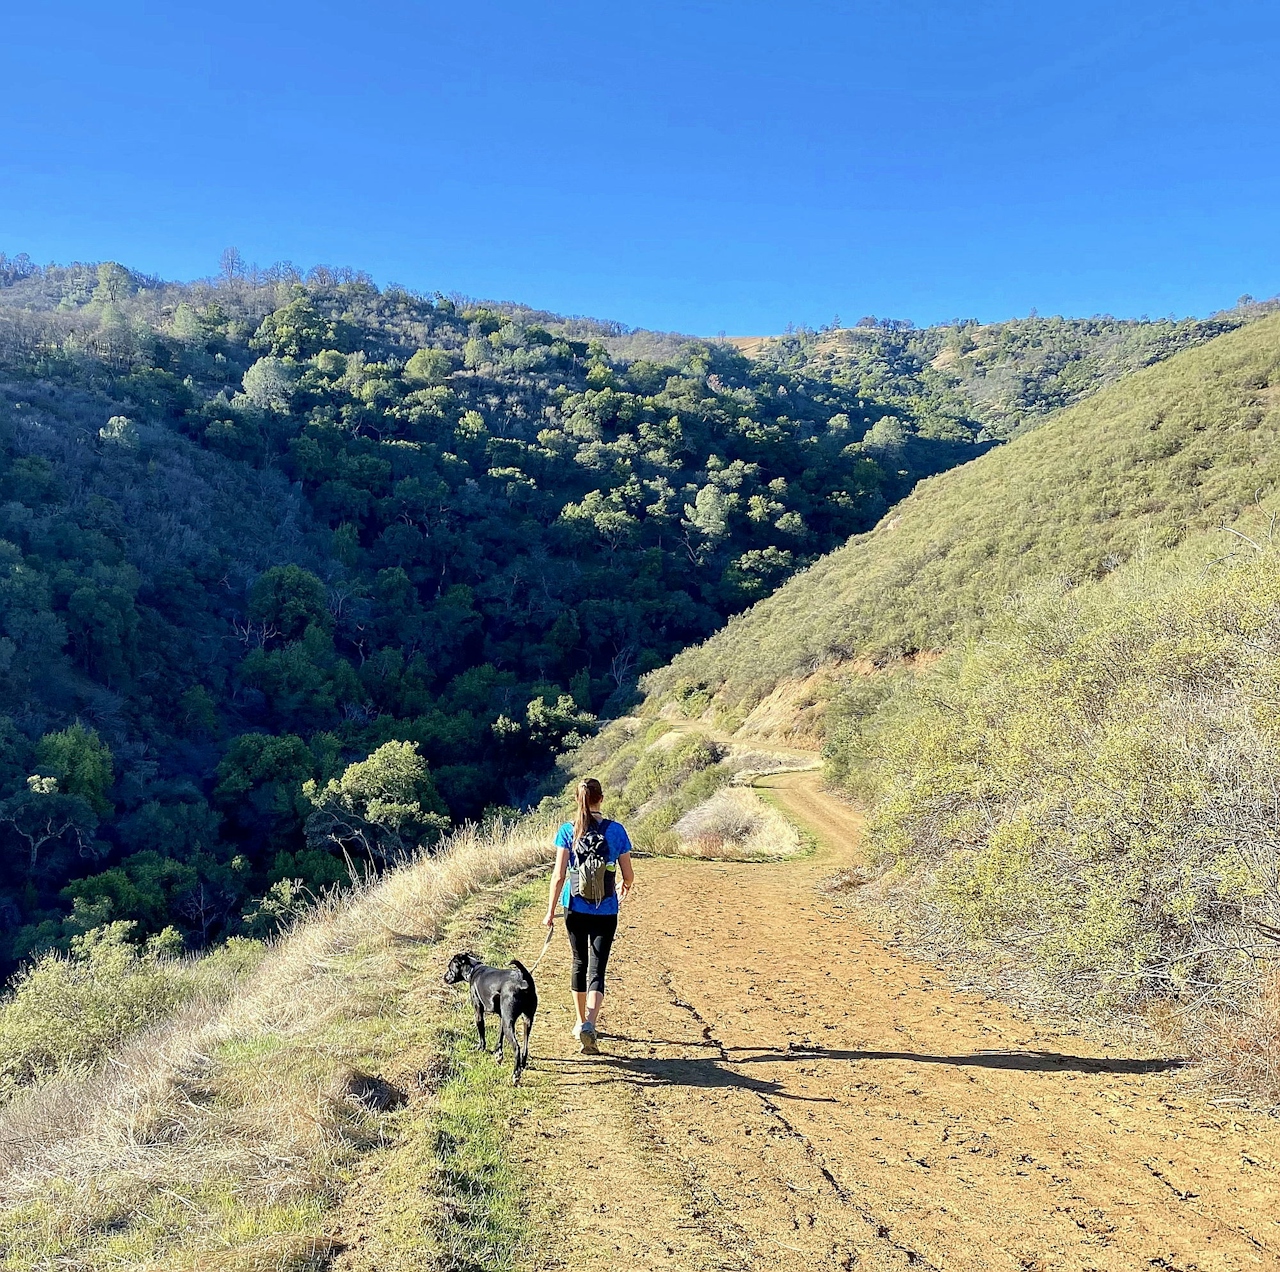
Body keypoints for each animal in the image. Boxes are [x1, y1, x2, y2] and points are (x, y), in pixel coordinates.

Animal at [442, 952, 537, 1080]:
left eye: (450, 968)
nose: (444, 977)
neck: (473, 969)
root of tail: (523, 980)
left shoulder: (478, 1011)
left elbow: (481, 1032)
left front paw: (480, 1048)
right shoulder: (502, 1017)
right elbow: (499, 1036)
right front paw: (498, 1054)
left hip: (509, 1024)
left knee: (517, 1047)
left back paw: (515, 1075)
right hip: (526, 1020)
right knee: (525, 1047)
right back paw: (521, 1067)